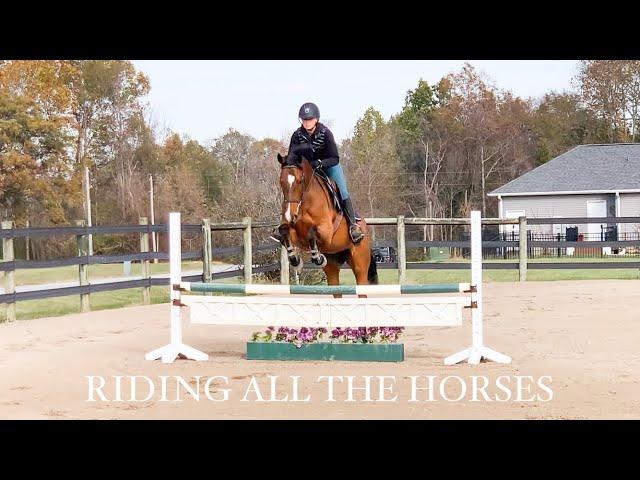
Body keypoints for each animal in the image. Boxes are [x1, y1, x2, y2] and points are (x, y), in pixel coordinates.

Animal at [274, 153, 376, 292]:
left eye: (299, 181)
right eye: (281, 181)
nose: (290, 215)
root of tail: (365, 227)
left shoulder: (326, 233)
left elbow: (312, 233)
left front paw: (318, 258)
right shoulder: (294, 232)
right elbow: (284, 230)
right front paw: (295, 260)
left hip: (360, 265)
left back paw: (354, 233)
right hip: (332, 266)